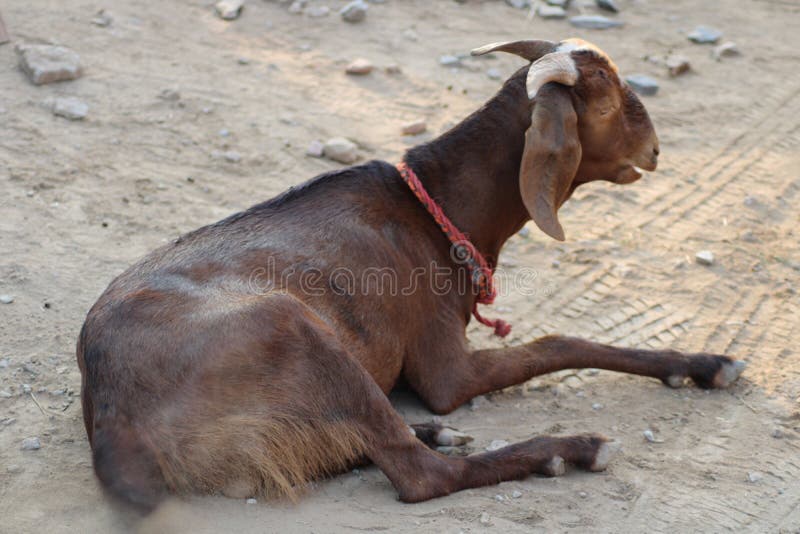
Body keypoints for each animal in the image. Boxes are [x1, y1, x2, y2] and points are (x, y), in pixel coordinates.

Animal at [76, 38, 746, 512]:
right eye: (606, 101)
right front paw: (702, 365)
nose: (655, 150)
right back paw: (567, 450)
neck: (434, 208)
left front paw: (702, 363)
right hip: (292, 325)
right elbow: (559, 342)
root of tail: (113, 414)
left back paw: (435, 433)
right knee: (421, 476)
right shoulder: (446, 370)